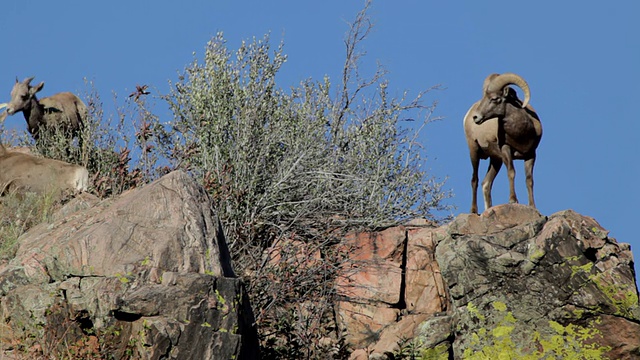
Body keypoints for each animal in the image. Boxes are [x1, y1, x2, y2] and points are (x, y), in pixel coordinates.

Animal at [462, 73, 544, 214]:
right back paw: (473, 210)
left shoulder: (531, 155)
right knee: (475, 180)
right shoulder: (506, 150)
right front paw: (513, 200)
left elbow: (529, 180)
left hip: (496, 160)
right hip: (474, 152)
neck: (521, 132)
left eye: (494, 98)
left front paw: (533, 206)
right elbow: (511, 172)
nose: (476, 117)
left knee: (486, 183)